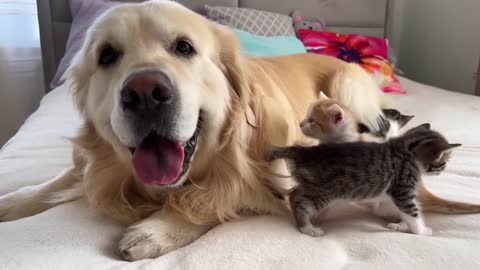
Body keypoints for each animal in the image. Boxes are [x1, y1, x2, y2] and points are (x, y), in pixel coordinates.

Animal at [270, 124, 462, 236]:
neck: (407, 148)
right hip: (324, 191)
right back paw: (307, 227)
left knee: (295, 192)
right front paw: (421, 230)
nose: (443, 169)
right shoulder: (403, 188)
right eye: (443, 162)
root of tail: (303, 151)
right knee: (296, 198)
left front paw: (400, 225)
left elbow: (400, 211)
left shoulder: (393, 194)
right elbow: (412, 212)